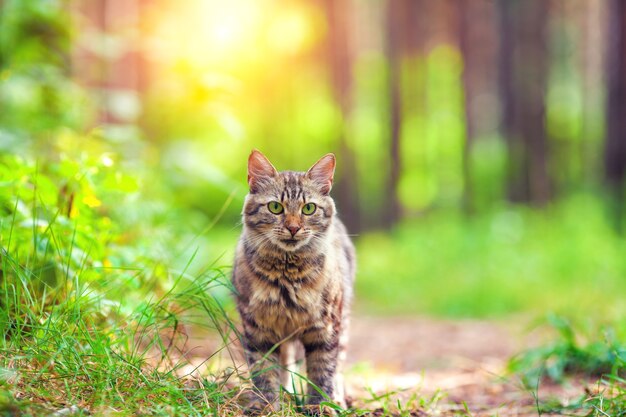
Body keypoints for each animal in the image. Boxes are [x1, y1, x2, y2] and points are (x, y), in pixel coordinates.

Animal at [230, 149, 356, 412]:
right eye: (275, 207)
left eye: (308, 209)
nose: (293, 228)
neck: (287, 276)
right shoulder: (258, 330)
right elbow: (264, 371)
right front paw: (266, 405)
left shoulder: (325, 330)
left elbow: (322, 372)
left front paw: (320, 406)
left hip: (343, 321)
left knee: (338, 367)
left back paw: (338, 399)